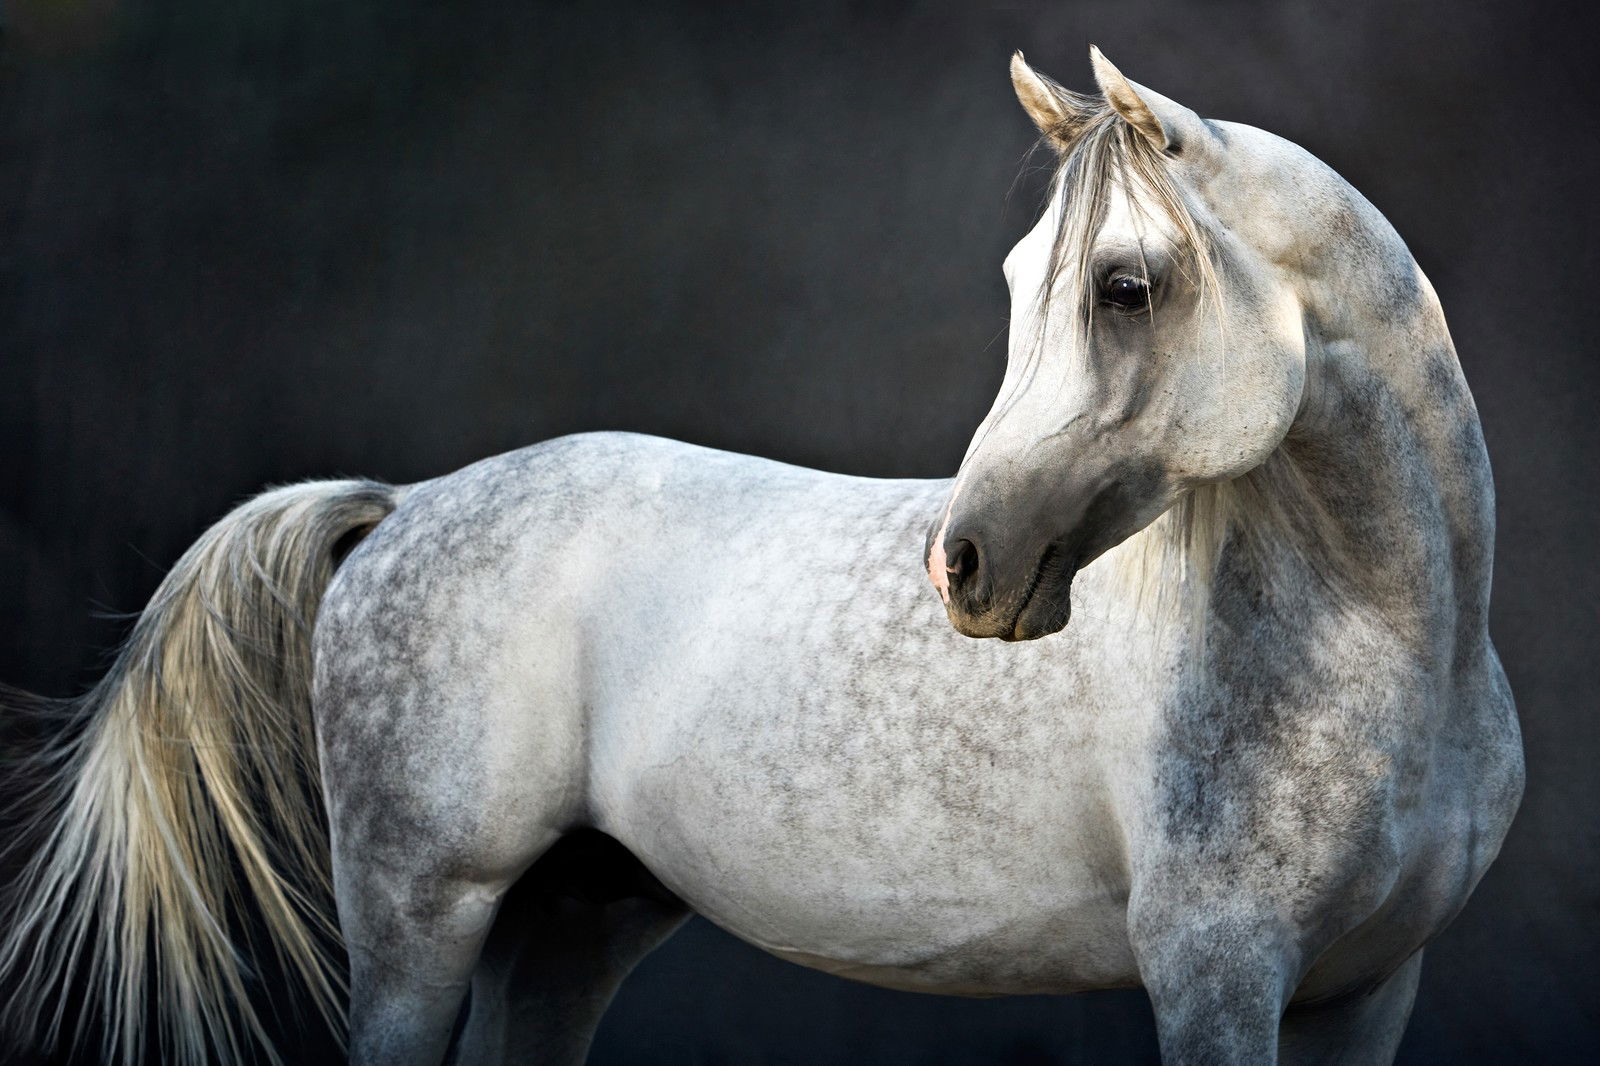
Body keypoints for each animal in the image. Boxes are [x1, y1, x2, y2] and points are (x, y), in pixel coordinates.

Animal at [0, 46, 1522, 1066]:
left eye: (1125, 286)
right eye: (1027, 281)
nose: (964, 564)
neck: (1395, 658)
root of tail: (406, 505)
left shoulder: (1363, 993)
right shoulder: (1217, 981)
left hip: (571, 921)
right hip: (418, 916)